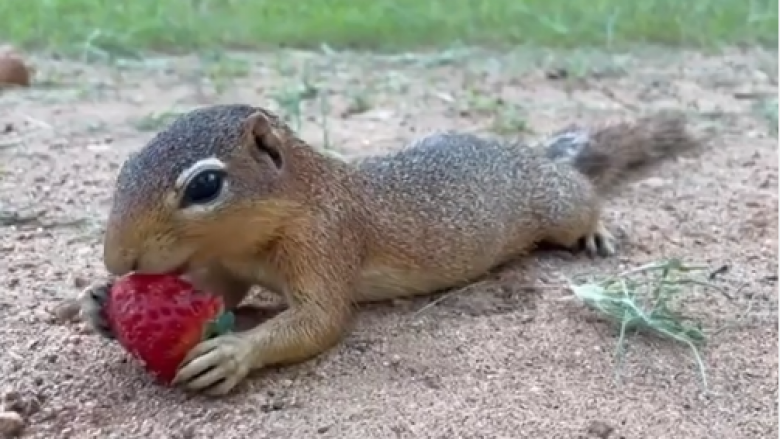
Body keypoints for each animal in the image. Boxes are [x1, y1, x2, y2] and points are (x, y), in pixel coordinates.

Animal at [77, 103, 700, 396]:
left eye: (205, 185)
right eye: (124, 167)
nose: (118, 261)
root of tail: (530, 155)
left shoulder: (326, 242)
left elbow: (322, 320)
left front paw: (233, 352)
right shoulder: (229, 266)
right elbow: (215, 297)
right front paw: (102, 306)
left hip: (558, 207)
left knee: (583, 198)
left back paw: (595, 230)